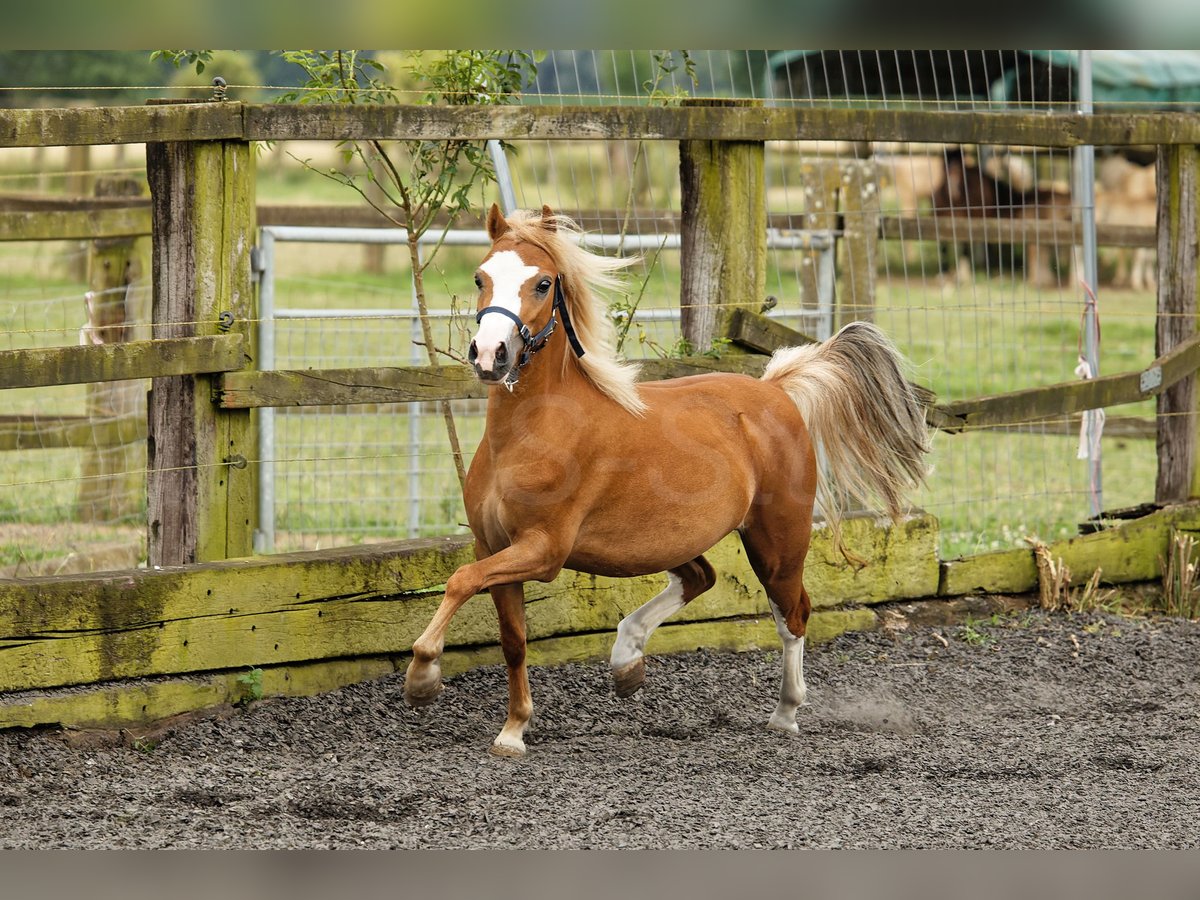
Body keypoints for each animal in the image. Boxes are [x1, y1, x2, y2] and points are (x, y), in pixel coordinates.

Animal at [403, 204, 926, 753]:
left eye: (543, 283)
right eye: (480, 276)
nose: (489, 355)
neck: (534, 432)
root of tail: (775, 390)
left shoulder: (543, 550)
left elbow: (460, 580)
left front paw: (422, 679)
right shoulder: (493, 546)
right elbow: (512, 640)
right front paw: (512, 730)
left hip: (778, 540)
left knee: (793, 614)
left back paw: (784, 714)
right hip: (675, 537)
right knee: (703, 577)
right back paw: (626, 661)